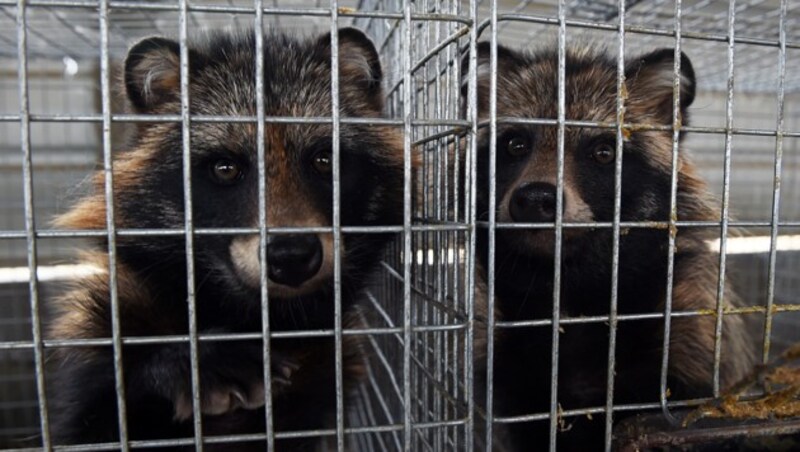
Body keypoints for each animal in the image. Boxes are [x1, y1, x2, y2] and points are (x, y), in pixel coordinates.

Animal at [47, 28, 404, 448]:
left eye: (324, 160)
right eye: (225, 168)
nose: (292, 256)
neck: (256, 315)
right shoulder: (103, 326)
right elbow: (94, 424)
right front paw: (175, 363)